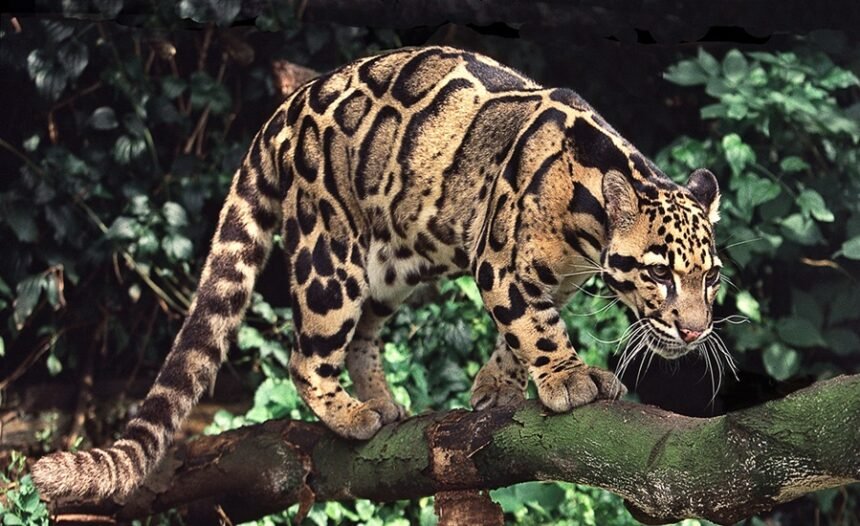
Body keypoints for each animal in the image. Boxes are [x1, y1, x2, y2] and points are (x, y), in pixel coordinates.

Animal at [32, 45, 723, 502]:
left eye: (710, 278)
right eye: (660, 273)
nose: (695, 331)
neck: (588, 224)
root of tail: (287, 107)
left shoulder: (545, 279)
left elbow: (515, 333)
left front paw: (495, 385)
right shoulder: (500, 265)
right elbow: (535, 326)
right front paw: (569, 376)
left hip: (388, 268)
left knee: (364, 335)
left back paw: (382, 402)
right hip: (329, 257)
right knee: (305, 356)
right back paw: (349, 415)